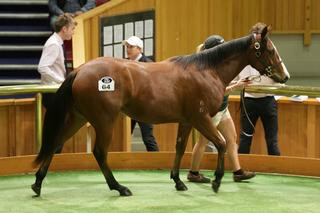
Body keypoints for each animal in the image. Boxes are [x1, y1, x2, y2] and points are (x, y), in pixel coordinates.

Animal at [31, 24, 290, 197]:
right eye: (269, 49)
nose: (285, 76)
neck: (206, 70)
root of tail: (81, 70)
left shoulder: (187, 121)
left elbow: (180, 147)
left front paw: (178, 181)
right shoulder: (201, 118)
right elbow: (222, 143)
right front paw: (216, 180)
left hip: (77, 118)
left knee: (54, 144)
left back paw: (37, 183)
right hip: (104, 121)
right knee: (99, 153)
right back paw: (119, 187)